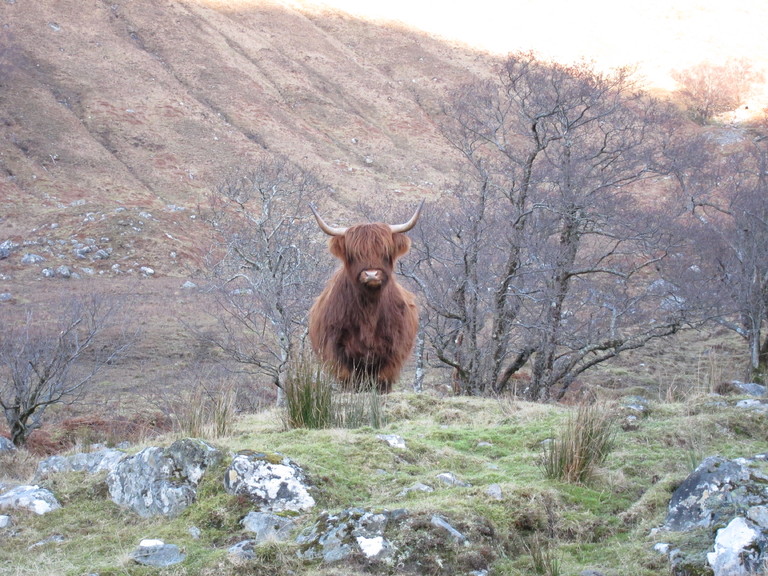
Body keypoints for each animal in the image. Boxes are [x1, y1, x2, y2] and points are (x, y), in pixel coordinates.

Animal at [308, 200, 426, 394]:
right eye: (353, 255)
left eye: (385, 253)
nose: (371, 275)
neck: (368, 311)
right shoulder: (336, 347)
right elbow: (348, 378)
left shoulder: (393, 351)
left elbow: (382, 380)